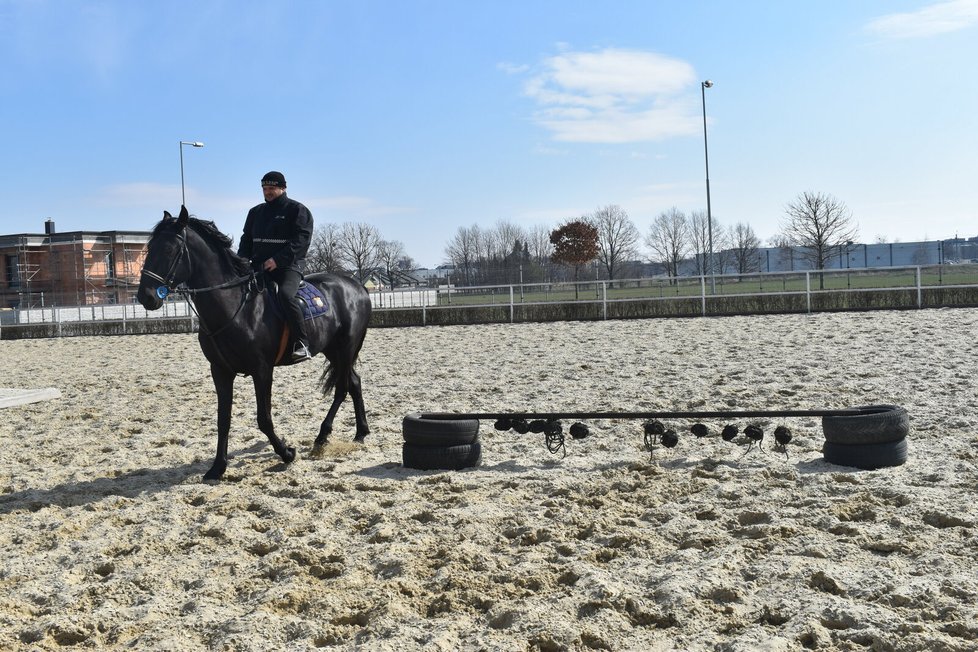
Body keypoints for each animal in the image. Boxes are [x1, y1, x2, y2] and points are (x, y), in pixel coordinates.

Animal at [133, 206, 370, 482]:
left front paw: (287, 453)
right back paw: (360, 432)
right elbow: (223, 419)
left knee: (342, 387)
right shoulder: (220, 371)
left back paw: (322, 436)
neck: (236, 306)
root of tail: (356, 285)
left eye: (170, 250)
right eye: (150, 248)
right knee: (354, 382)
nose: (146, 296)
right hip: (333, 350)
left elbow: (264, 418)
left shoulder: (262, 370)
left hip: (346, 348)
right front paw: (217, 467)